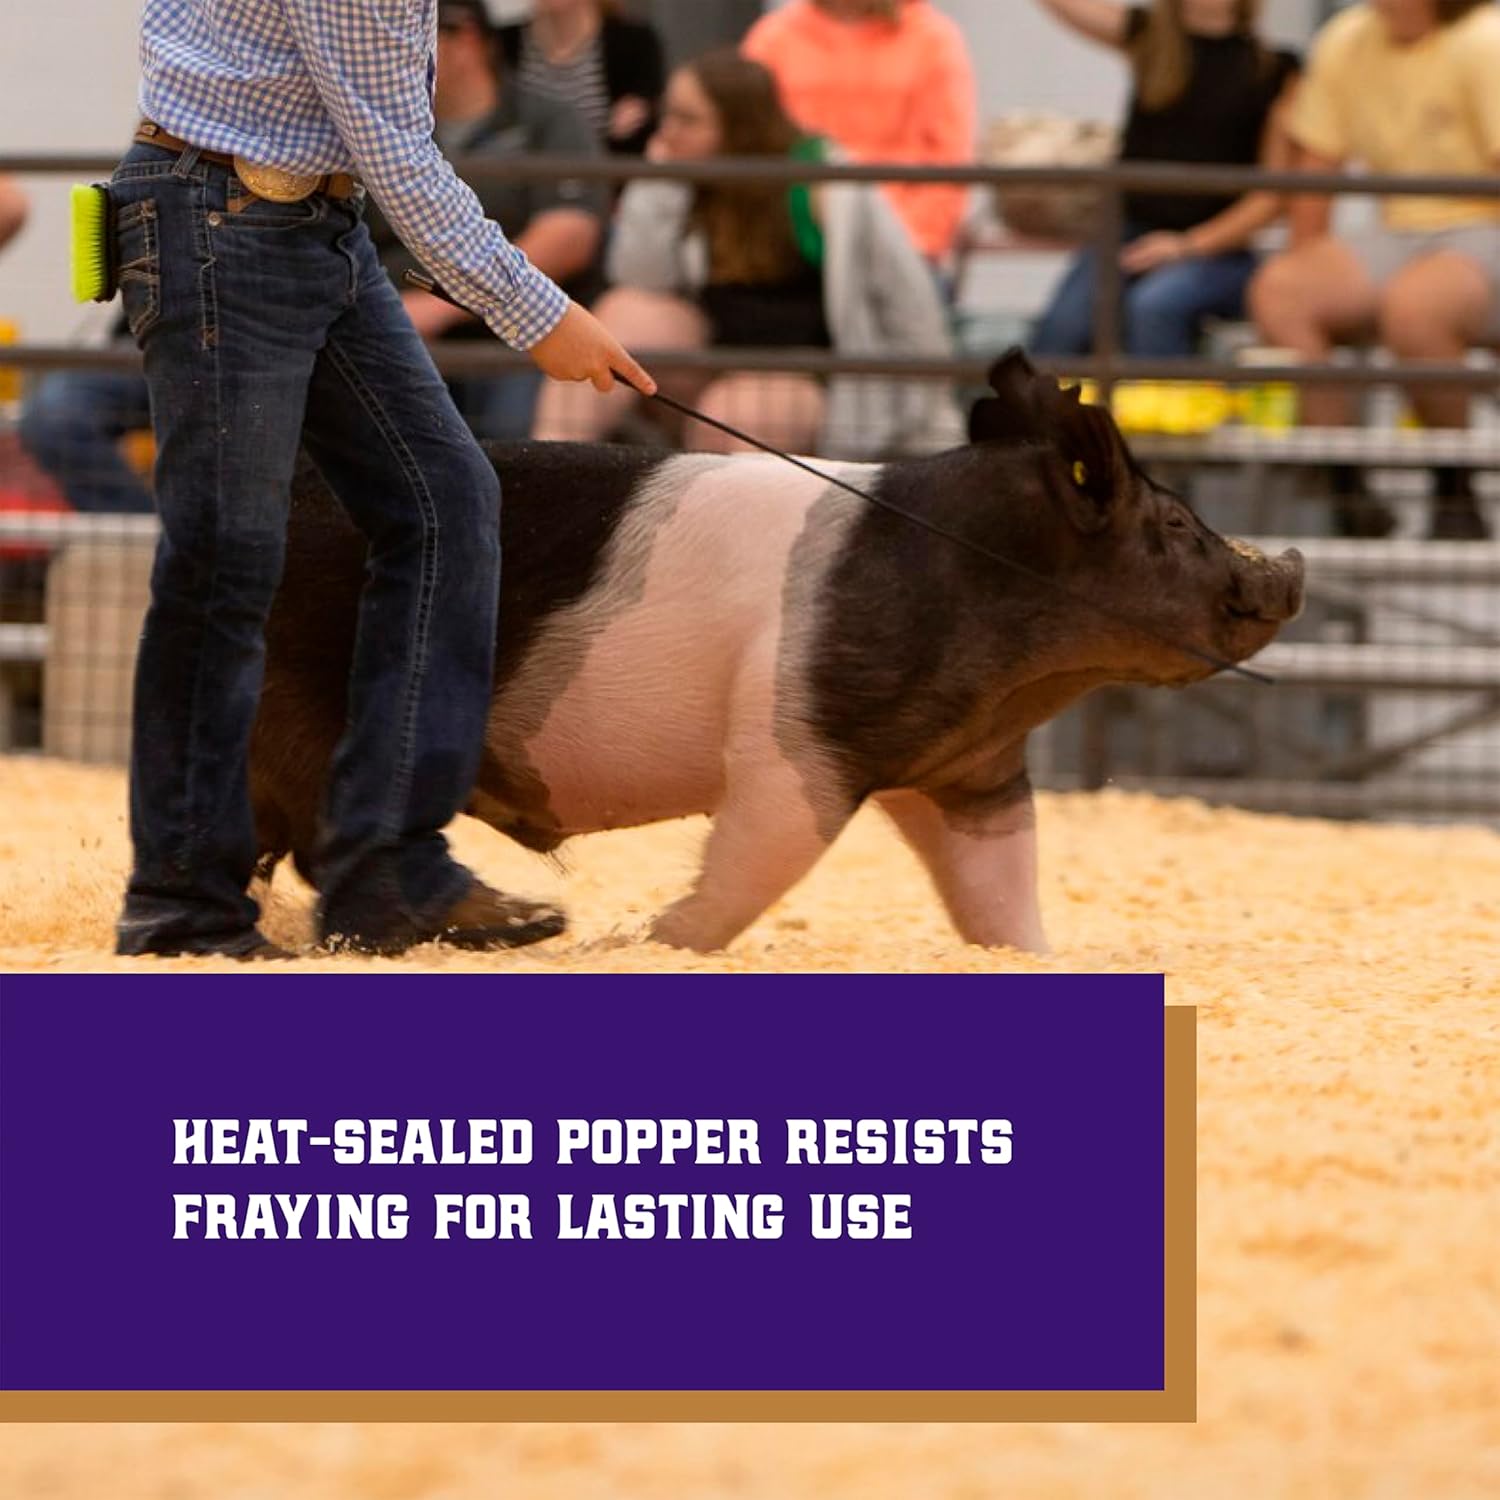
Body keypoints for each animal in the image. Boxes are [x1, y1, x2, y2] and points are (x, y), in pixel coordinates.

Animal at [250, 351, 1304, 953]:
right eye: (1176, 523)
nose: (1288, 565)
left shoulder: (971, 770)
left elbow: (1003, 891)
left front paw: (1037, 955)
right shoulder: (796, 741)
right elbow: (752, 864)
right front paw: (637, 941)